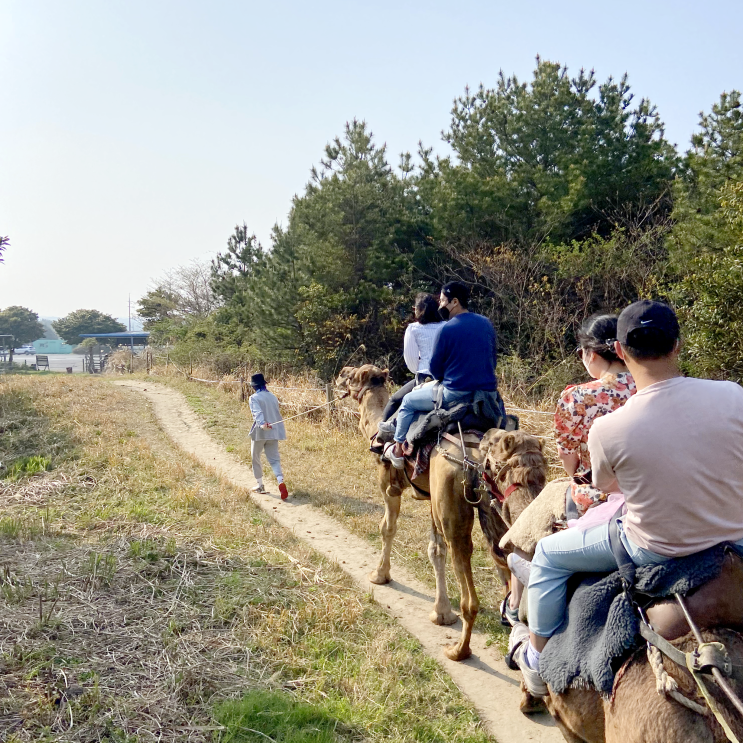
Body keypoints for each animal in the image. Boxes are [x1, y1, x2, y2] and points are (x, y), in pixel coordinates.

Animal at [336, 364, 548, 660]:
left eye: (352, 376)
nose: (339, 376)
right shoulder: (432, 498)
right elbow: (435, 549)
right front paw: (442, 613)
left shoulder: (390, 486)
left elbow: (388, 528)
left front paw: (380, 575)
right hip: (496, 511)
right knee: (504, 561)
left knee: (468, 581)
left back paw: (459, 650)